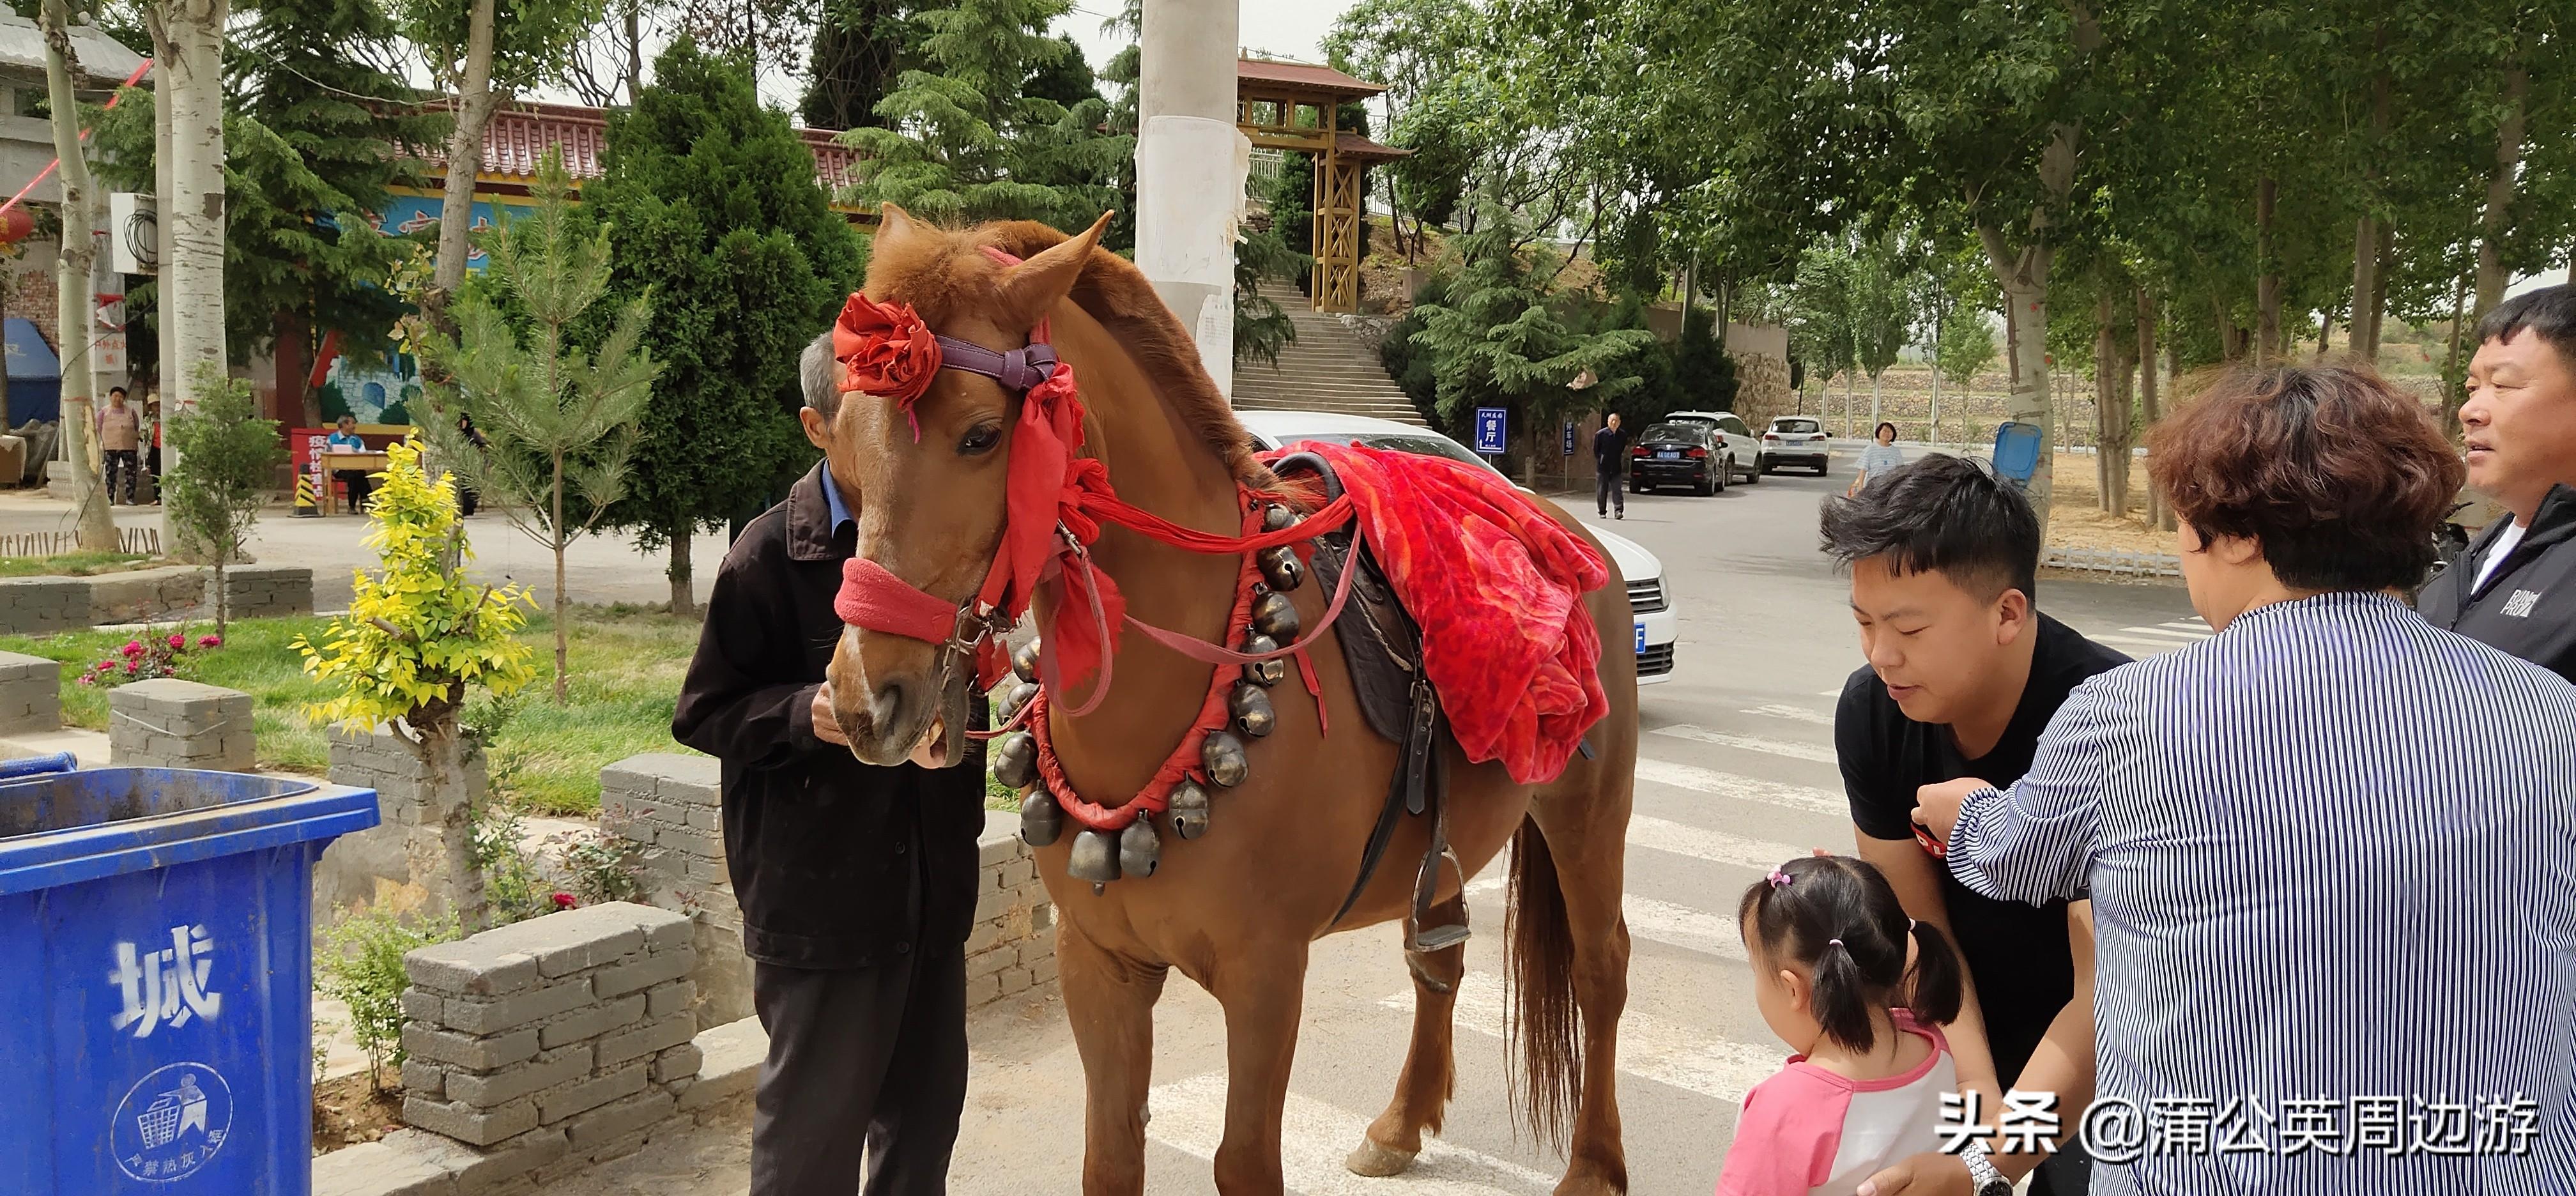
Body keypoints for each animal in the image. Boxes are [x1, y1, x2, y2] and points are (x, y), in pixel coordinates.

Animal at [814, 207, 1638, 1196]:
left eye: (980, 436)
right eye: (843, 443)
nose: (863, 698)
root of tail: (1571, 531)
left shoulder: (1266, 978)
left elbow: (1245, 1160)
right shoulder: (1097, 965)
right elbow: (1110, 1155)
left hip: (1587, 812)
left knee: (1600, 970)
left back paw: (1593, 1163)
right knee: (1438, 951)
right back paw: (1402, 1122)